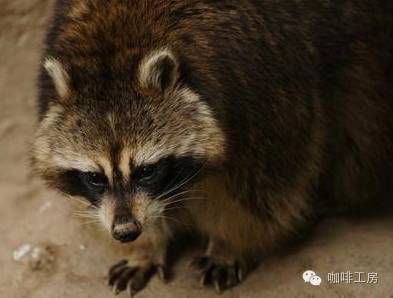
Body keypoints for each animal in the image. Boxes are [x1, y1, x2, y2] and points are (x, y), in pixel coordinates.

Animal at [31, 0, 392, 296]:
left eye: (147, 171)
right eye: (94, 177)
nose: (125, 232)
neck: (115, 47)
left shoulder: (263, 93)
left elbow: (259, 190)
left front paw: (228, 243)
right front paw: (145, 247)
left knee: (360, 144)